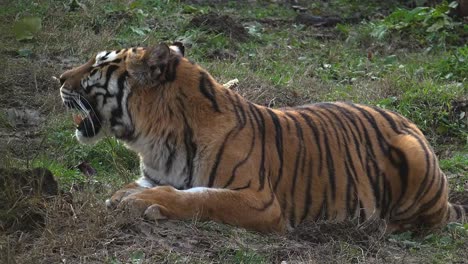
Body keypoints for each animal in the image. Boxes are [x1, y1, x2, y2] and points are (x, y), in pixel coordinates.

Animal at [59, 41, 468, 233]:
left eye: (96, 66)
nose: (58, 78)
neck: (154, 140)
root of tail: (412, 125)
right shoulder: (151, 174)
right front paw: (124, 196)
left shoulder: (259, 199)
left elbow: (199, 196)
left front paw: (141, 203)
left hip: (413, 159)